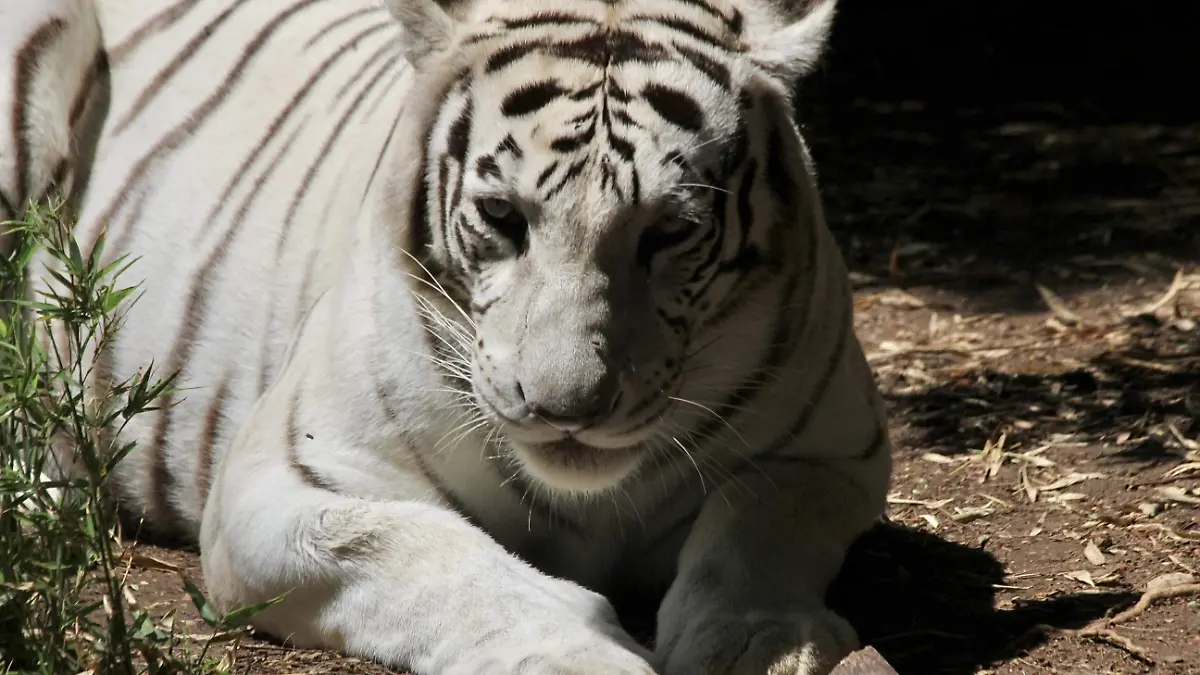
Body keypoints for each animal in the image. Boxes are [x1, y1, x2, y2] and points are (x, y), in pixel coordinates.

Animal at [0, 0, 893, 673]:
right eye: (503, 216)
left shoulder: (831, 456)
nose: (567, 408)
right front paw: (585, 653)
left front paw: (760, 643)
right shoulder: (278, 480)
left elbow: (755, 523)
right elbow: (429, 554)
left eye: (670, 230)